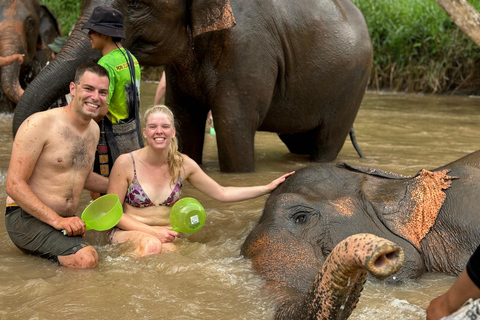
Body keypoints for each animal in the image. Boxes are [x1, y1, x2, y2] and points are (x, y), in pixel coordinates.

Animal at [10, 0, 372, 172]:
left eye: (137, 4)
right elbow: (183, 119)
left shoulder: (249, 48)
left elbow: (233, 126)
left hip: (353, 84)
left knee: (326, 141)